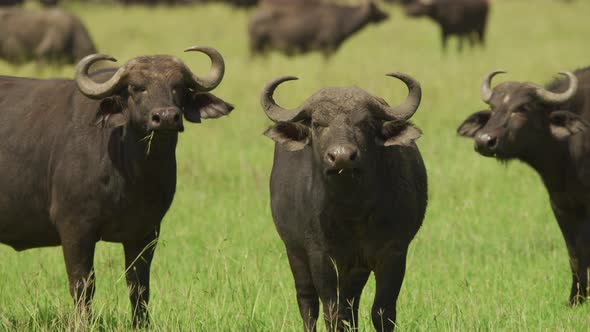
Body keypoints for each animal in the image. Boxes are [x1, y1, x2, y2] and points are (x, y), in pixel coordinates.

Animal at [0, 45, 234, 326]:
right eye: (136, 87)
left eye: (178, 86)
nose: (166, 117)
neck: (134, 175)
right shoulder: (75, 228)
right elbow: (82, 284)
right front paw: (82, 323)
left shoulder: (146, 232)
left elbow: (139, 285)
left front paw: (141, 324)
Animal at [262, 72, 426, 330]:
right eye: (317, 124)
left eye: (364, 123)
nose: (341, 157)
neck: (351, 210)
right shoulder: (319, 254)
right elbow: (331, 310)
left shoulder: (393, 252)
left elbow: (382, 311)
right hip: (295, 251)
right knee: (308, 303)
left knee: (351, 304)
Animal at [460, 68, 590, 306]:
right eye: (493, 108)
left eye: (522, 108)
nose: (484, 141)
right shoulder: (561, 205)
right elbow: (575, 255)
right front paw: (575, 299)